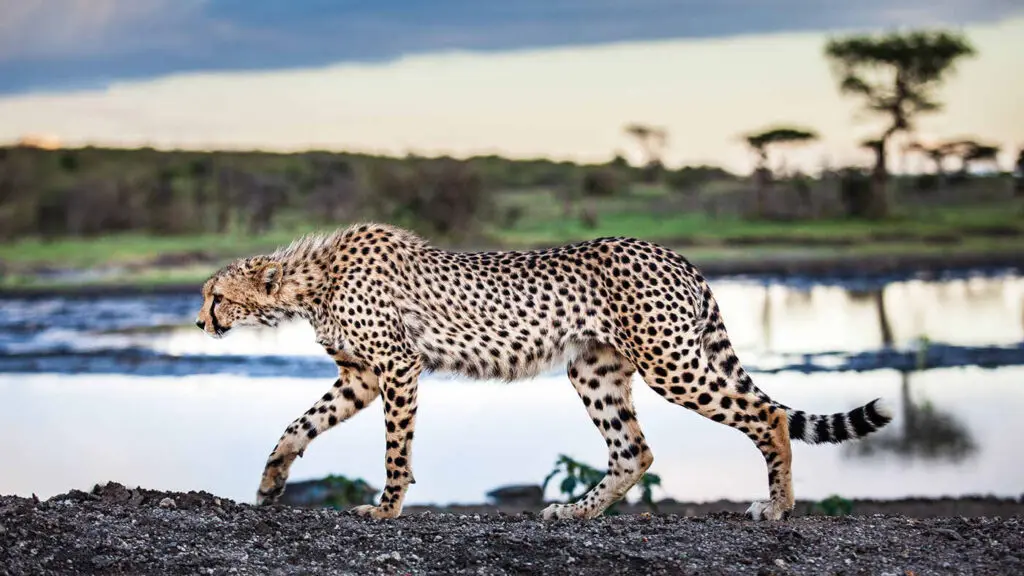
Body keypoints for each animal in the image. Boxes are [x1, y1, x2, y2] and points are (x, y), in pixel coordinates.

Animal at [194, 222, 893, 521]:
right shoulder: (361, 376)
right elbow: (297, 427)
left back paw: (777, 507)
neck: (310, 281)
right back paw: (577, 513)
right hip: (595, 372)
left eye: (216, 296)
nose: (200, 323)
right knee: (634, 450)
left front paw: (386, 509)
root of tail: (673, 252)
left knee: (768, 415)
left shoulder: (396, 366)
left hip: (671, 362)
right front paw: (270, 485)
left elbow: (395, 450)